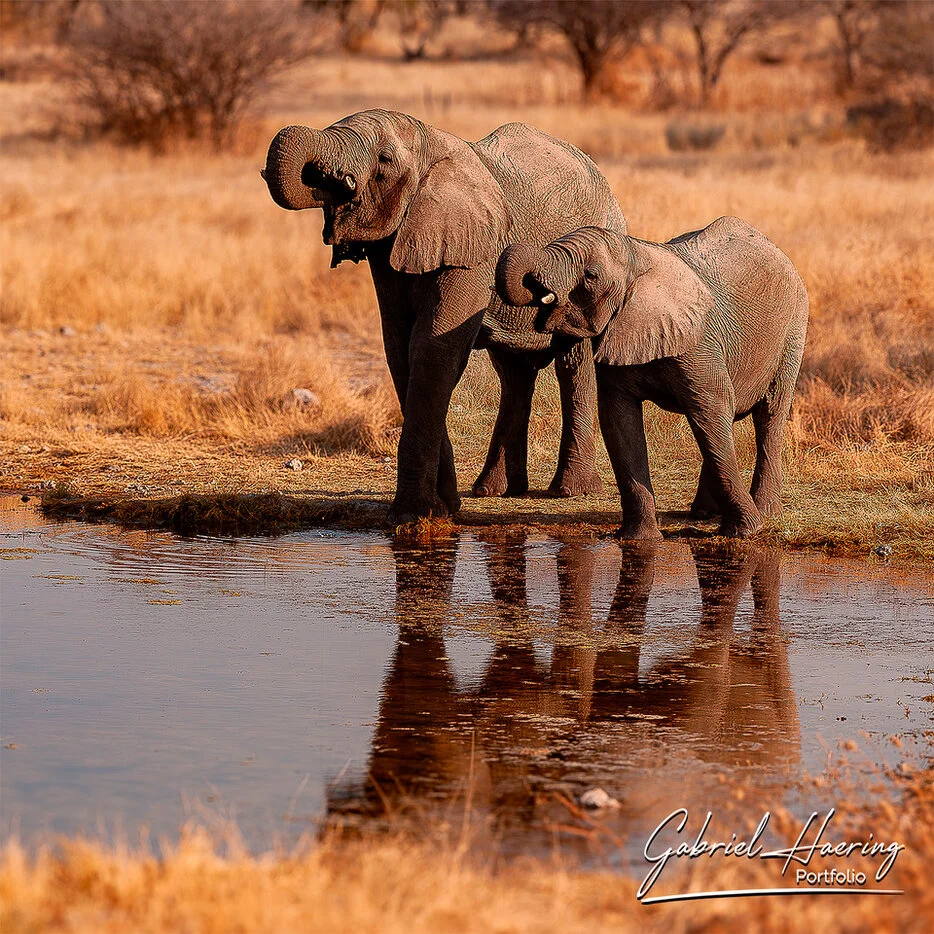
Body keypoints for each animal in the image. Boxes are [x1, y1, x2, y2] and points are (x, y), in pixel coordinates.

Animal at [262, 110, 626, 521]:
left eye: (384, 160)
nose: (334, 180)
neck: (430, 142)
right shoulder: (392, 248)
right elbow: (401, 352)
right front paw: (443, 509)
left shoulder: (473, 247)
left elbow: (432, 349)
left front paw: (415, 515)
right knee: (513, 373)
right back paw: (494, 490)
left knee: (573, 364)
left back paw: (571, 490)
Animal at [494, 217, 809, 539]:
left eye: (591, 276)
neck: (636, 254)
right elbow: (619, 422)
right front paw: (638, 538)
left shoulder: (698, 341)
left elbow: (711, 408)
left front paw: (744, 531)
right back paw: (704, 513)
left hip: (793, 329)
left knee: (769, 414)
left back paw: (765, 511)